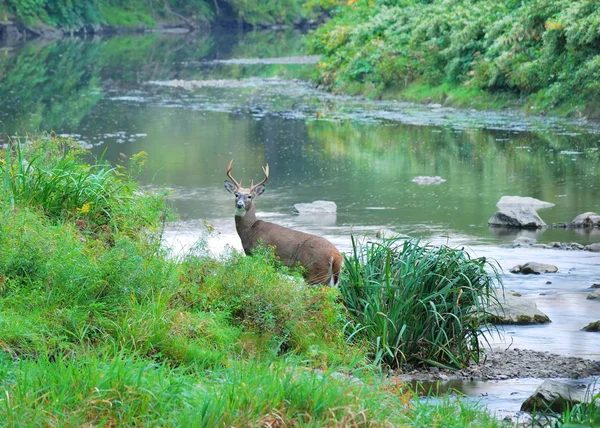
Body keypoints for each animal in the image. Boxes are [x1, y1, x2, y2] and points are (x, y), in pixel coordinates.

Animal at [223, 160, 342, 288]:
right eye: (236, 194)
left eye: (249, 196)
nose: (240, 204)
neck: (250, 230)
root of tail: (337, 256)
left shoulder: (261, 255)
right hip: (327, 279)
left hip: (315, 273)